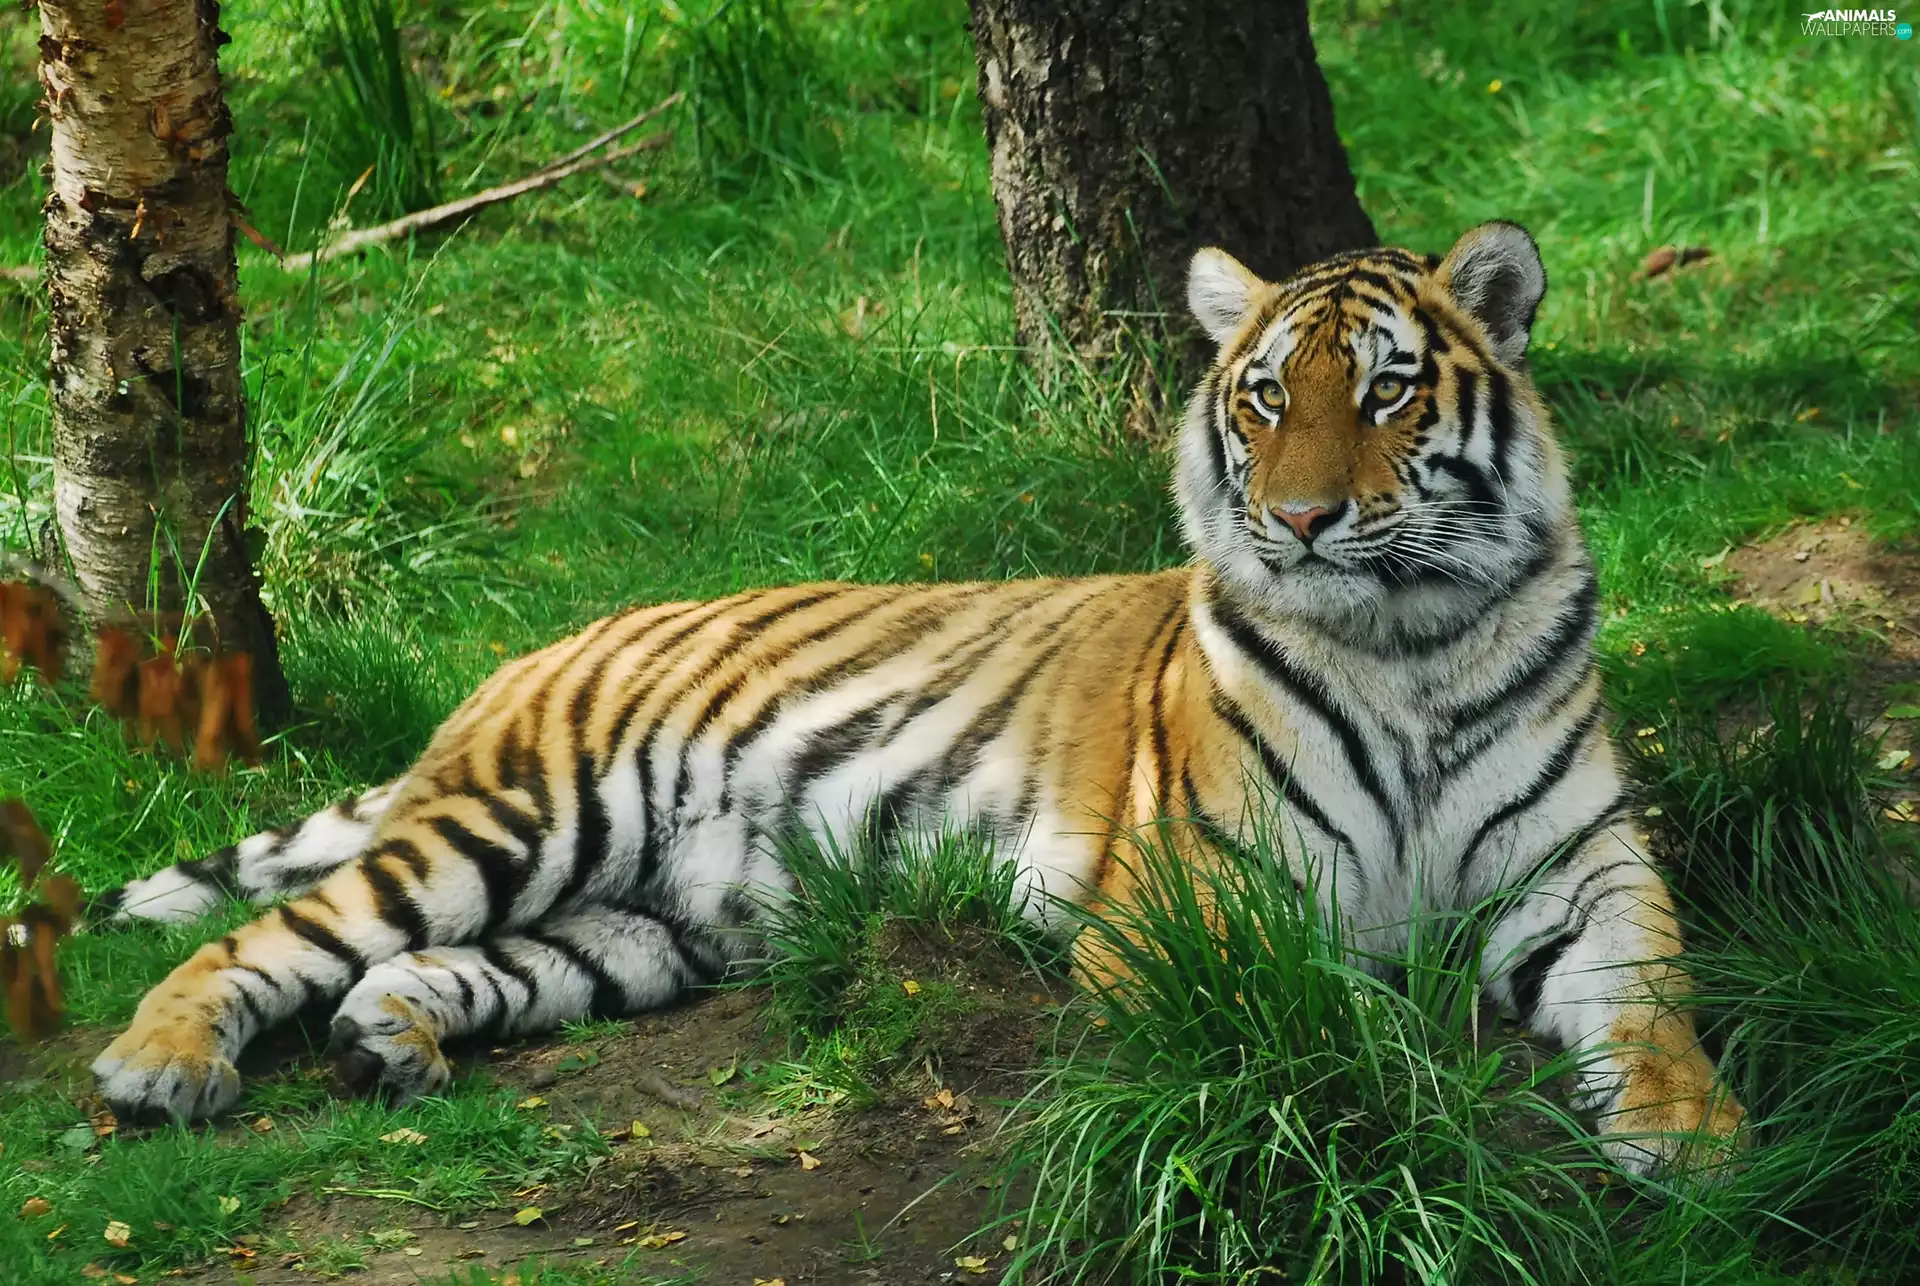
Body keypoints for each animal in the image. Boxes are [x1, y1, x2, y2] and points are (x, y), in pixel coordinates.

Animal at [92, 222, 1744, 1173]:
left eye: (1390, 390)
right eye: (1269, 395)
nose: (1299, 519)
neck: (1411, 646)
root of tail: (526, 652)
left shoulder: (1584, 870)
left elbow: (1656, 998)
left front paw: (1697, 1138)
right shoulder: (1200, 902)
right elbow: (1330, 1020)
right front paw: (1404, 1080)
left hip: (645, 925)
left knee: (424, 967)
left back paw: (390, 1044)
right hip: (521, 818)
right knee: (272, 936)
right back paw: (157, 1066)